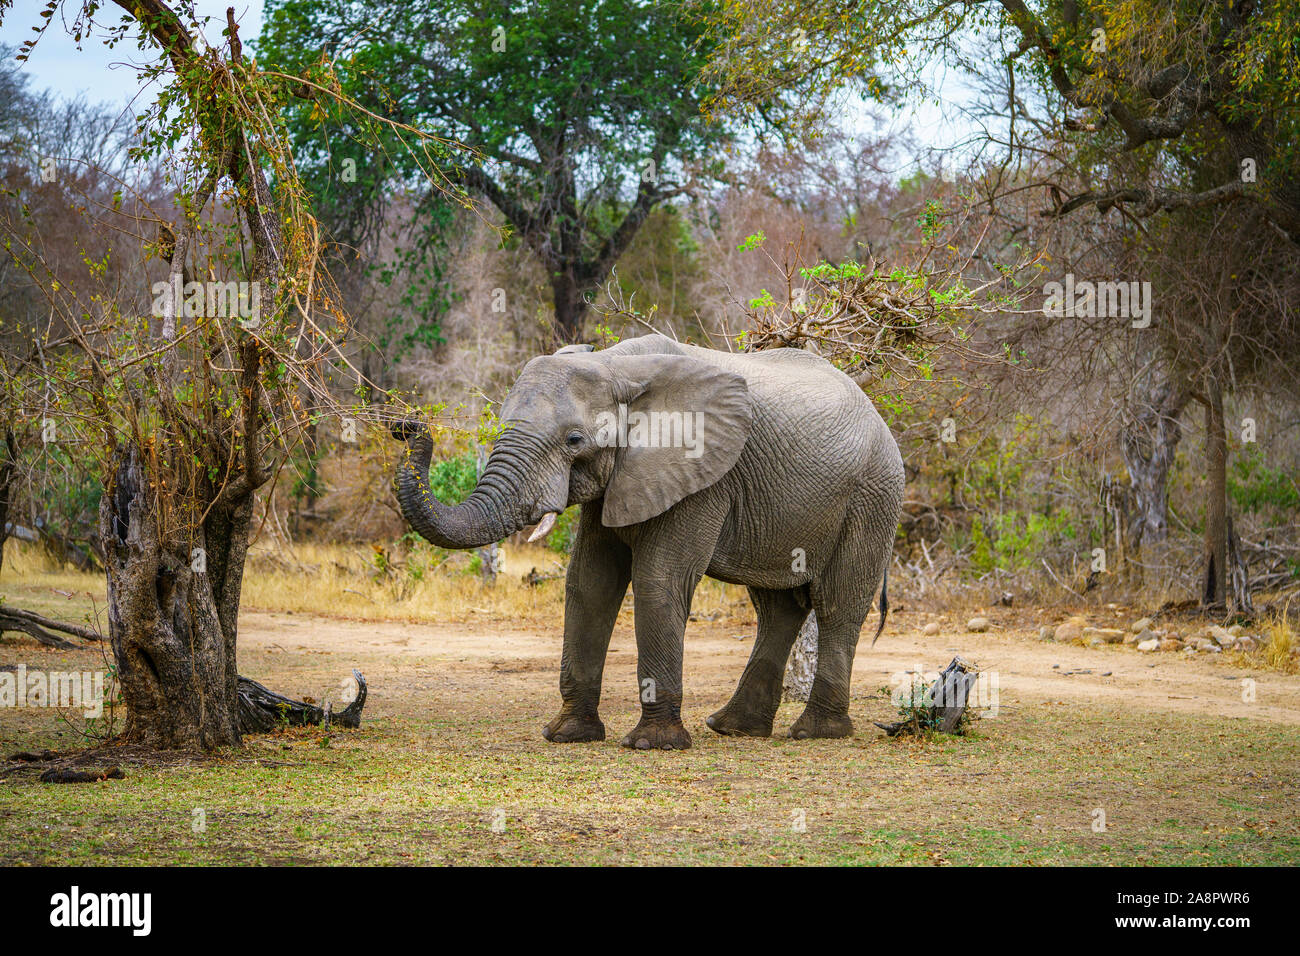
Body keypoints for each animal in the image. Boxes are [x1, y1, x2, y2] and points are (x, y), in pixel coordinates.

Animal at [392, 335, 904, 749]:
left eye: (574, 439)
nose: (406, 426)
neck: (615, 365)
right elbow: (589, 583)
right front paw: (567, 735)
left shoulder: (701, 475)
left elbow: (659, 581)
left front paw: (652, 744)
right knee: (776, 607)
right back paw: (733, 728)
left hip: (872, 496)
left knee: (837, 603)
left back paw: (815, 733)